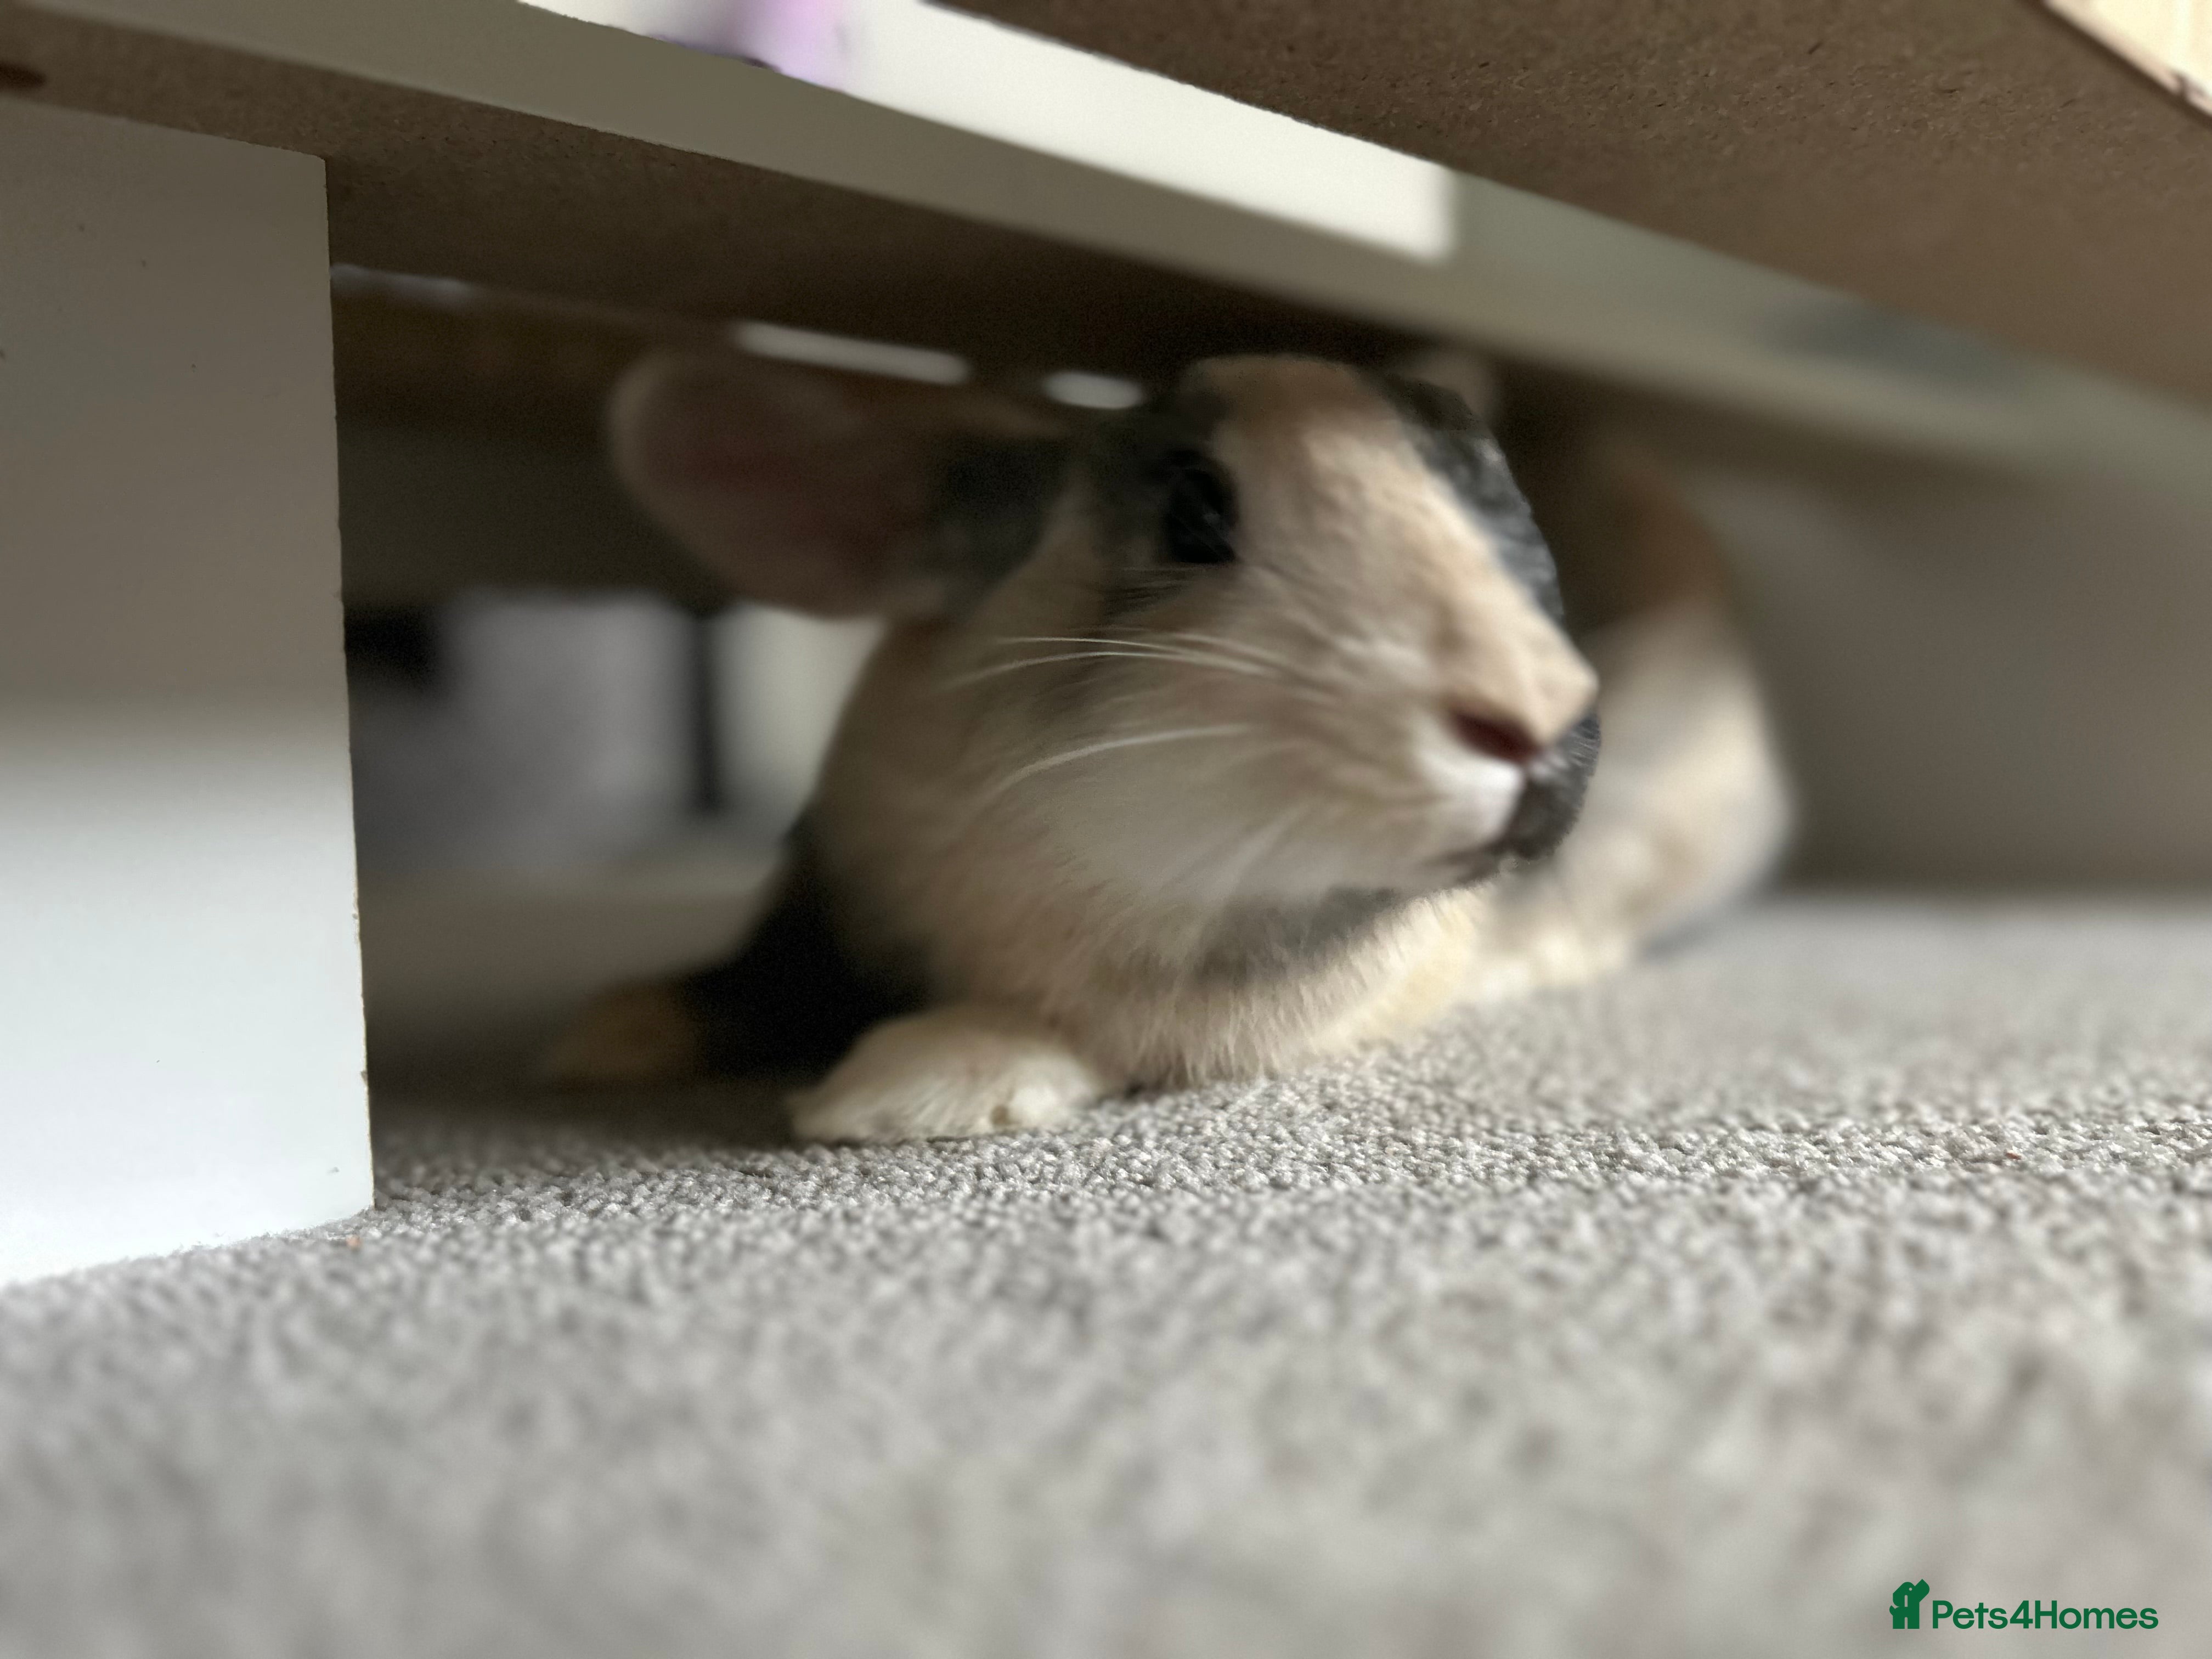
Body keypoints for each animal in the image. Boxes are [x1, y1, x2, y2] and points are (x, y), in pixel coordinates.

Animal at [542, 350, 1789, 1141]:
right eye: (1195, 510)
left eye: (1509, 518)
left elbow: (1080, 1034)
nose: (1531, 715)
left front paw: (894, 1093)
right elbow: (752, 974)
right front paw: (608, 1031)